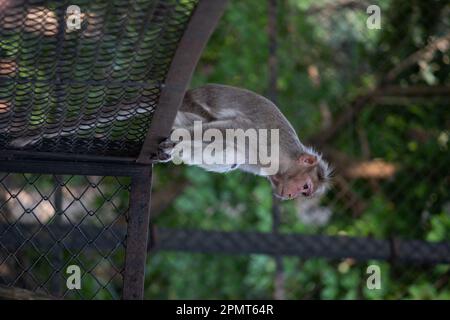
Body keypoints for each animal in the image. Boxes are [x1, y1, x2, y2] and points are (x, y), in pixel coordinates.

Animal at [156, 84, 332, 200]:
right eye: (305, 187)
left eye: (304, 192)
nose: (291, 195)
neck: (287, 161)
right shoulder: (272, 145)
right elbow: (237, 128)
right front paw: (174, 139)